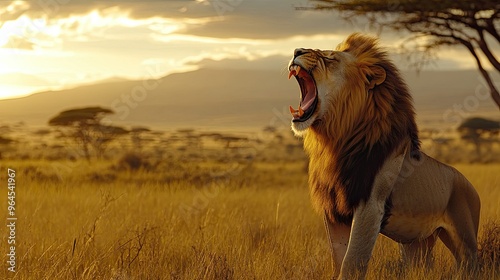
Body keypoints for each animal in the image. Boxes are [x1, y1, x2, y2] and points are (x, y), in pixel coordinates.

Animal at [290, 34, 480, 278]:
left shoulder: (370, 206)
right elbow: (338, 258)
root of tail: (470, 184)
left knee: (472, 264)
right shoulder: (333, 211)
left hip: (465, 238)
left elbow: (352, 261)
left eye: (330, 57)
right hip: (417, 241)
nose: (296, 50)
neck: (335, 143)